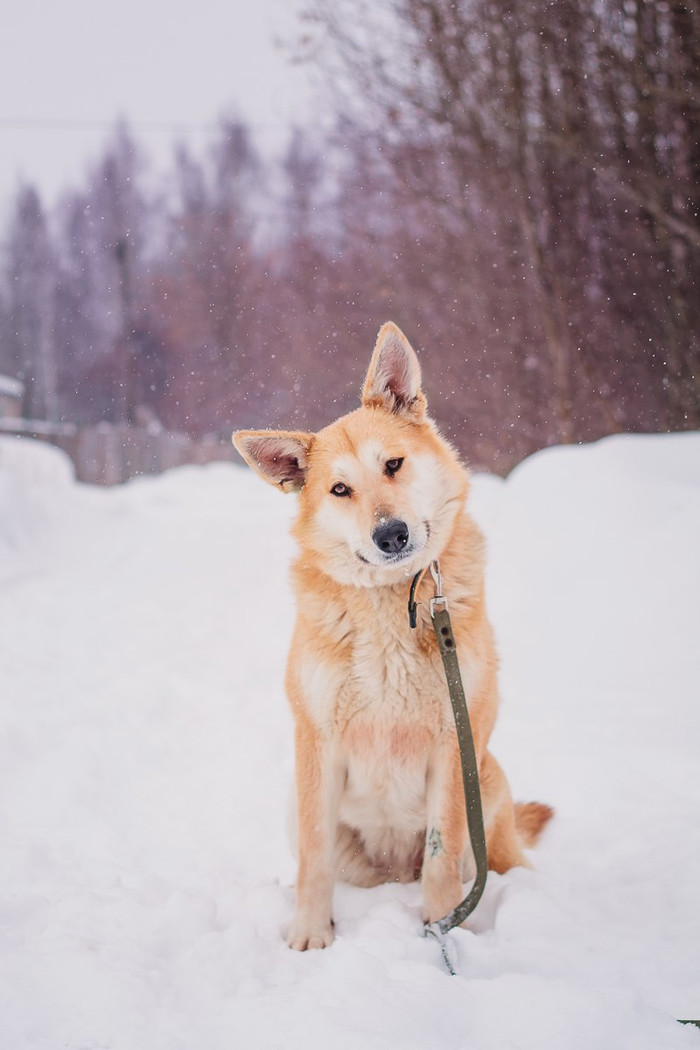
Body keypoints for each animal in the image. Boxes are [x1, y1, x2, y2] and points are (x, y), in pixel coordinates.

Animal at [235, 321, 554, 953]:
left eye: (394, 465)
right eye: (339, 490)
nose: (391, 534)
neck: (388, 604)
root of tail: (392, 872)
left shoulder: (454, 746)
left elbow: (441, 856)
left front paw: (441, 930)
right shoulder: (317, 741)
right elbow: (313, 862)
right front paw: (310, 936)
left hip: (488, 789)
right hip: (304, 809)